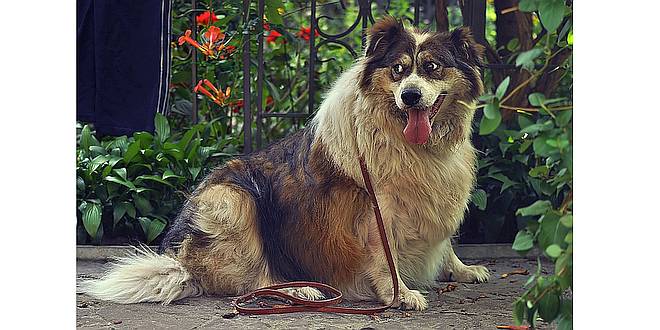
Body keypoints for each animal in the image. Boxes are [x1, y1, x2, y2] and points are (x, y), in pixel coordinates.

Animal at [80, 17, 488, 312]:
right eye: (399, 70)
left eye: (432, 67)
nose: (410, 96)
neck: (411, 143)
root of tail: (180, 261)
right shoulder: (375, 209)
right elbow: (382, 255)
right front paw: (400, 295)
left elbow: (446, 241)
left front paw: (463, 269)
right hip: (232, 200)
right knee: (254, 280)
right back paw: (302, 290)